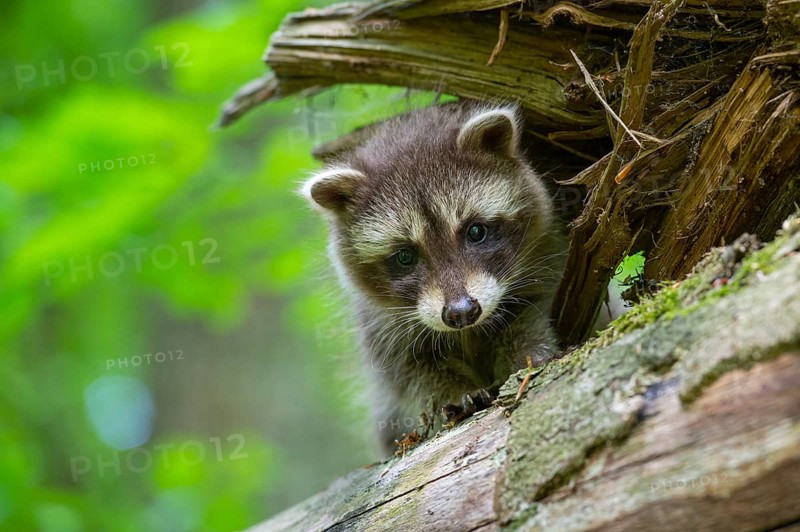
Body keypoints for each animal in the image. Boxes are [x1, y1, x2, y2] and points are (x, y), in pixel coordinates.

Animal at [301, 103, 565, 452]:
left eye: (475, 232)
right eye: (405, 256)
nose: (461, 312)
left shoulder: (547, 258)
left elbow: (530, 314)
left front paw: (528, 354)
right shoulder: (380, 326)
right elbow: (411, 372)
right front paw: (453, 391)